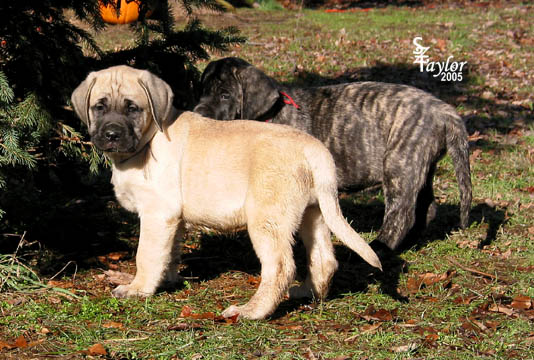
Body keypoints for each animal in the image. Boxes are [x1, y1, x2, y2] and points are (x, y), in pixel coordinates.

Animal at [196, 57, 474, 252]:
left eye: (225, 95)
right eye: (202, 92)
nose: (197, 113)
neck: (269, 116)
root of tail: (443, 110)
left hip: (400, 164)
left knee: (401, 214)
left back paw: (380, 248)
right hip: (420, 166)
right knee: (426, 207)